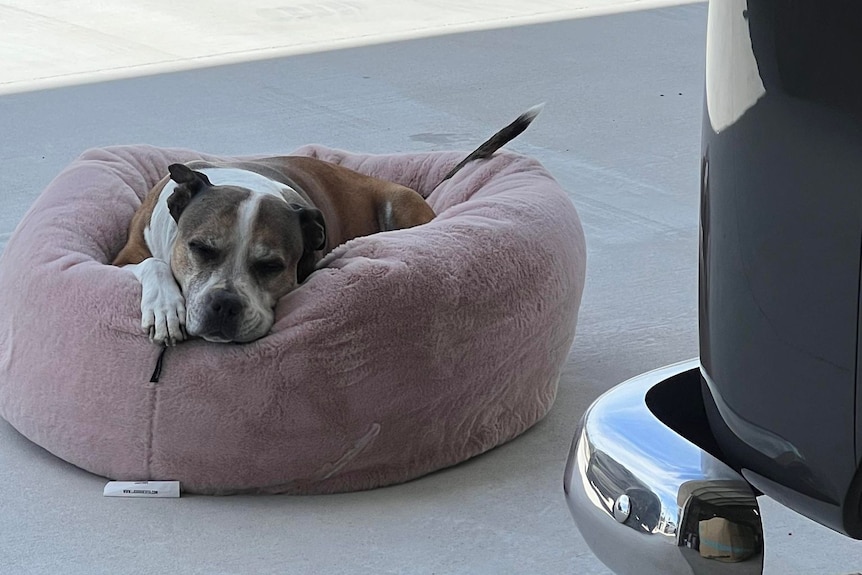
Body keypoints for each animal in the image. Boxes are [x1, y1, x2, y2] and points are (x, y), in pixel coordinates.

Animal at [113, 104, 548, 344]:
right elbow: (152, 262)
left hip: (399, 203)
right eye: (200, 249)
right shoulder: (125, 257)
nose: (225, 304)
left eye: (271, 266)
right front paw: (164, 308)